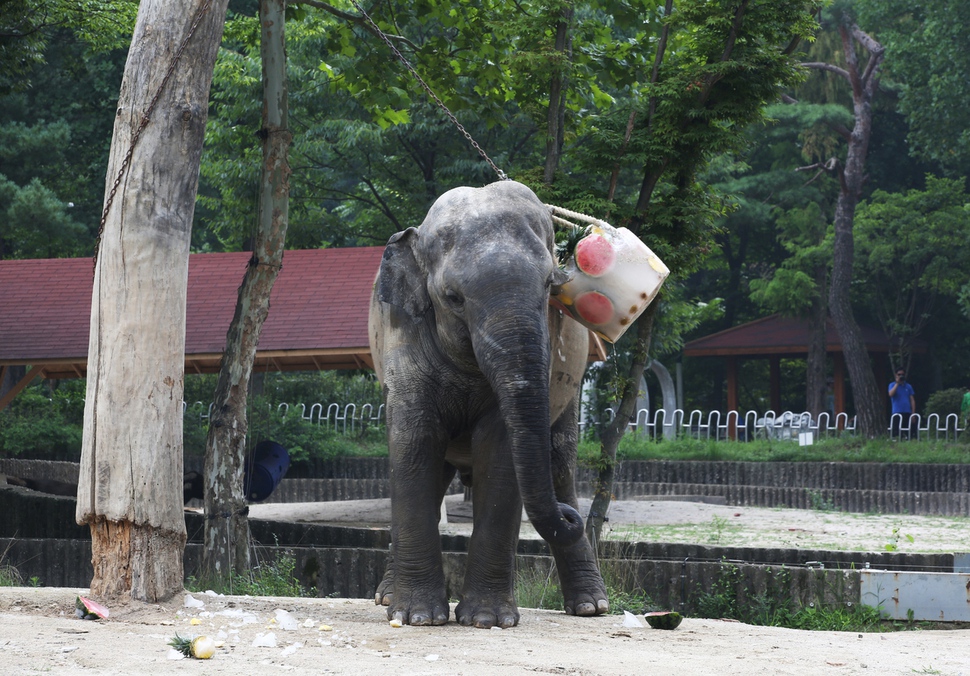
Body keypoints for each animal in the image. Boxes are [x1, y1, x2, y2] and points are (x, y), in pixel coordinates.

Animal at [368, 180, 604, 628]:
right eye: (452, 297)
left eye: (549, 285)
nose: (568, 515)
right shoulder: (402, 336)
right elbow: (412, 443)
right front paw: (418, 617)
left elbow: (500, 449)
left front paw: (487, 620)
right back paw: (386, 599)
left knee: (560, 465)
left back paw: (590, 607)